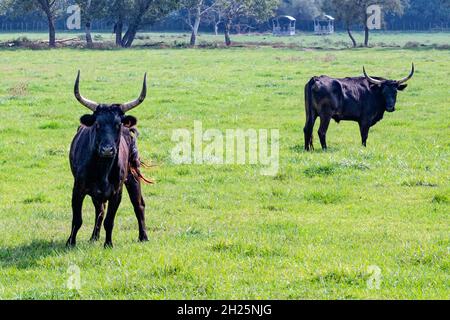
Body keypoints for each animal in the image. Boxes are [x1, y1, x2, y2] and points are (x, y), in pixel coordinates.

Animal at [66, 71, 152, 249]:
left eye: (118, 125)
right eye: (97, 124)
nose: (107, 150)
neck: (102, 169)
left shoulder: (116, 192)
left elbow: (109, 221)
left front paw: (108, 244)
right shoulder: (78, 188)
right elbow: (77, 219)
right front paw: (70, 242)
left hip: (133, 176)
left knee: (138, 204)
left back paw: (143, 236)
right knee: (100, 209)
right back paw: (94, 237)